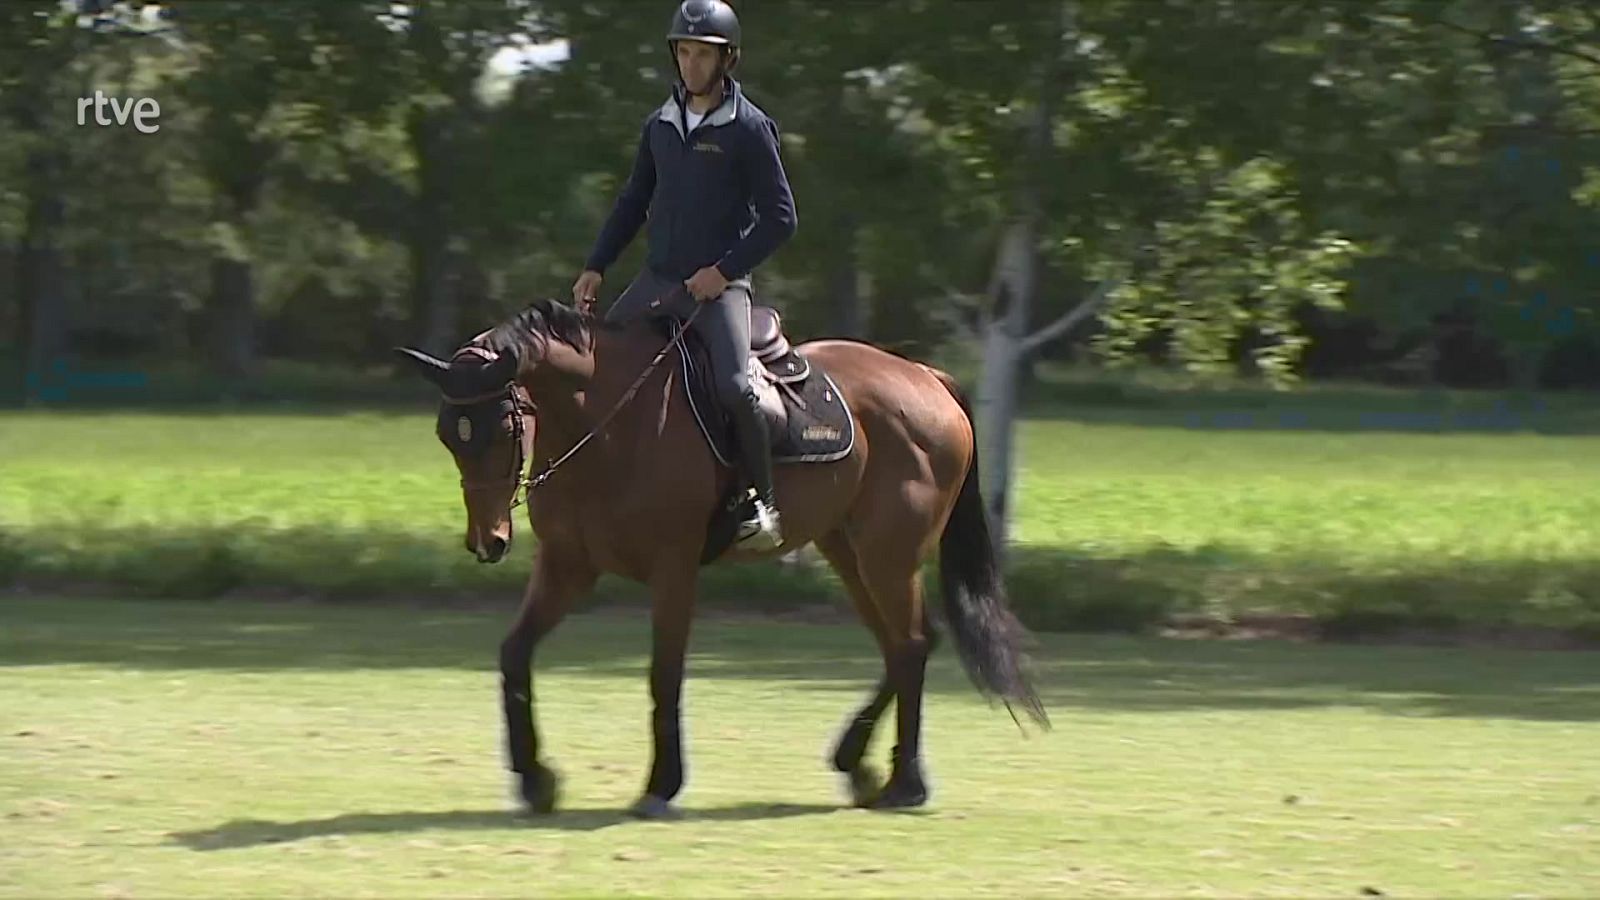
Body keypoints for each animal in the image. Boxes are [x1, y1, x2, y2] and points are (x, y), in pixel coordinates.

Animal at [395, 295, 1048, 820]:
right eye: (448, 434)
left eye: (503, 426)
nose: (488, 541)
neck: (608, 421)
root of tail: (925, 376)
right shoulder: (568, 566)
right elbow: (515, 654)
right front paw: (535, 779)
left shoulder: (673, 568)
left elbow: (664, 674)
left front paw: (660, 787)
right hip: (848, 552)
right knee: (903, 645)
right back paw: (858, 764)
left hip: (887, 556)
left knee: (910, 646)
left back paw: (905, 783)